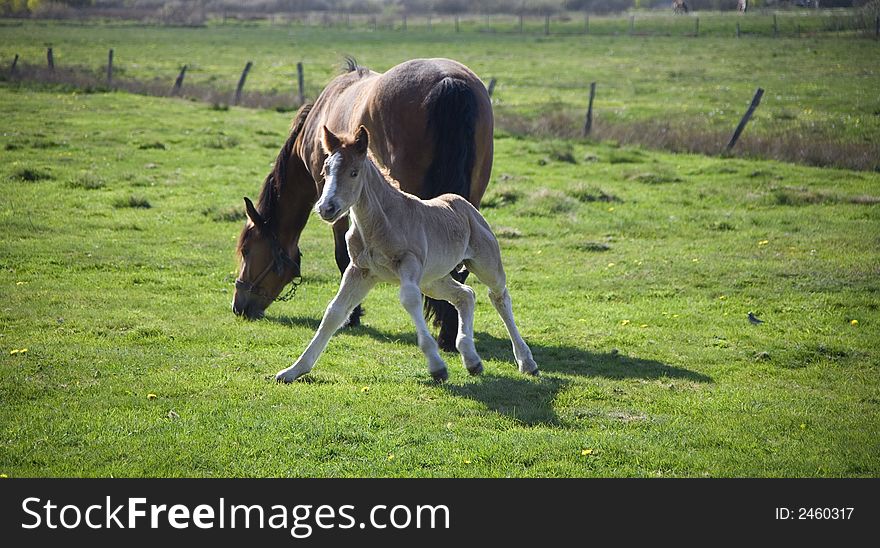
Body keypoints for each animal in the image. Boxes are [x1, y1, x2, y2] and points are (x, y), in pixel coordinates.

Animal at [234, 57, 496, 352]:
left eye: (246, 250)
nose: (239, 306)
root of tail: (448, 80)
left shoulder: (334, 200)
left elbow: (342, 255)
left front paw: (352, 315)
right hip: (469, 200)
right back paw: (449, 332)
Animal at [276, 124, 536, 384]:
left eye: (354, 173)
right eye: (326, 170)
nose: (326, 208)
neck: (379, 224)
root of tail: (467, 206)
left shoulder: (408, 265)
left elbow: (409, 299)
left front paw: (437, 366)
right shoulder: (360, 271)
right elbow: (334, 312)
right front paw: (294, 370)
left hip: (484, 264)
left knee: (499, 296)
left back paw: (527, 362)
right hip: (433, 279)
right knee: (466, 295)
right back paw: (472, 360)